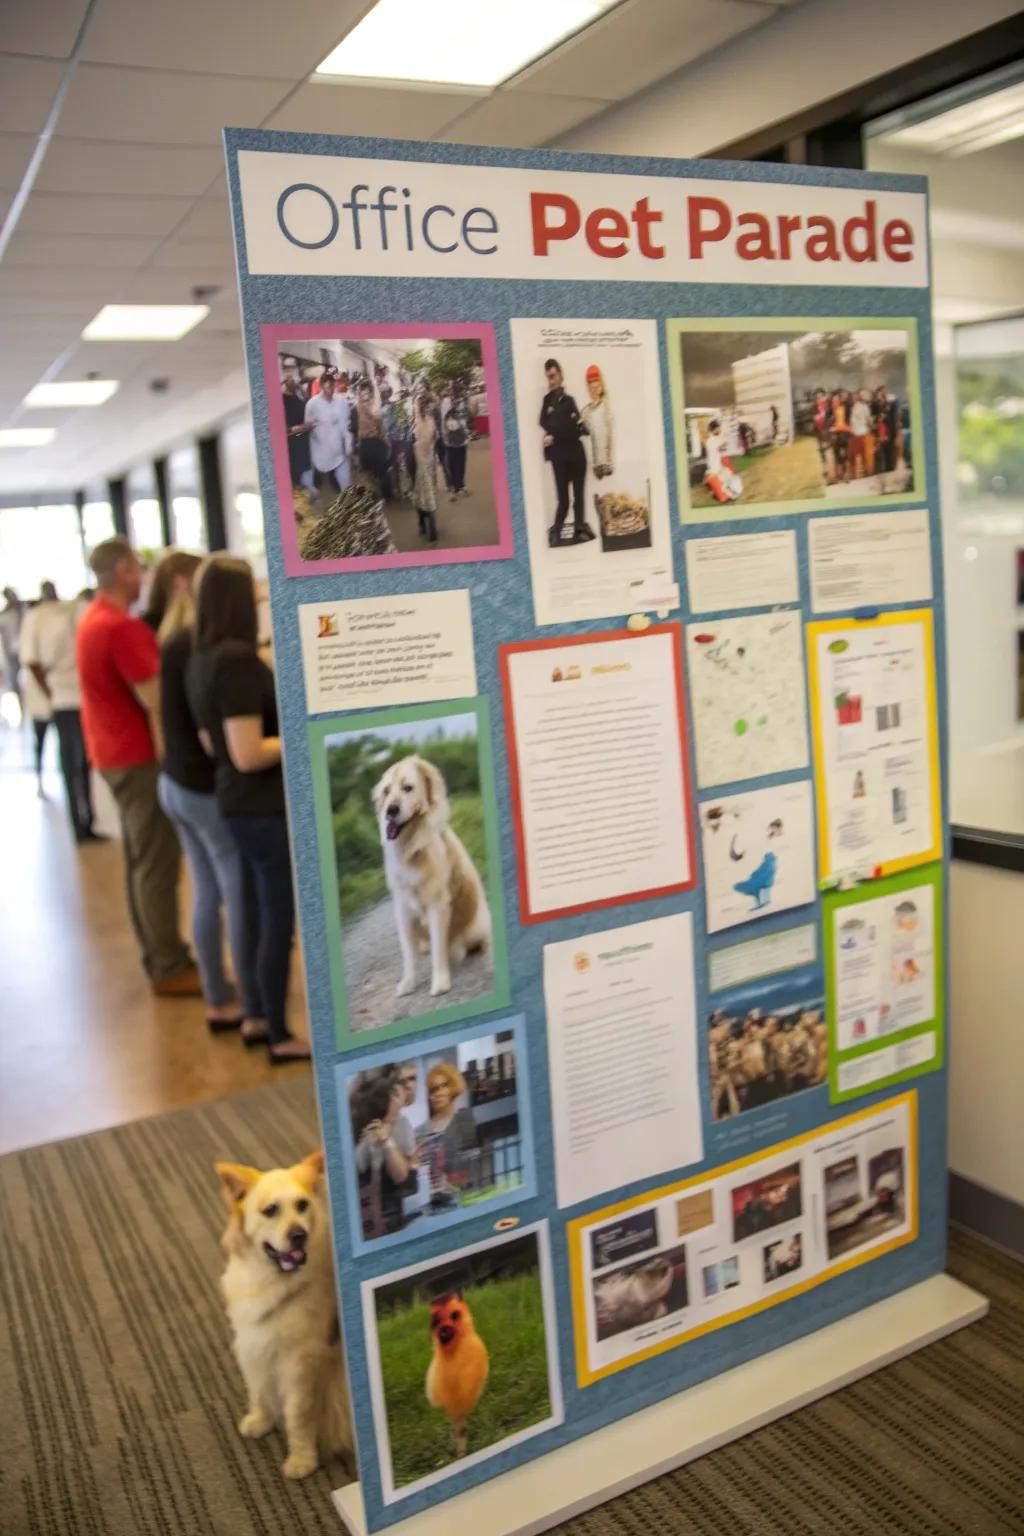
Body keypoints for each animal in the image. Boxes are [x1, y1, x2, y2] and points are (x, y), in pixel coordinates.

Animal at [214, 1155, 353, 1474]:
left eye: (302, 1205)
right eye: (271, 1210)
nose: (299, 1235)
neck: (274, 1281)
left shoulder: (299, 1363)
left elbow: (297, 1415)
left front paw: (301, 1459)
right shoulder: (253, 1345)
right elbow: (258, 1390)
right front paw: (260, 1421)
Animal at [373, 752, 491, 995]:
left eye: (408, 788)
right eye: (387, 791)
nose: (390, 810)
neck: (413, 848)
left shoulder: (437, 904)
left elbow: (439, 948)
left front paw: (440, 983)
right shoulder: (402, 907)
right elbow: (408, 954)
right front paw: (408, 983)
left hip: (478, 924)